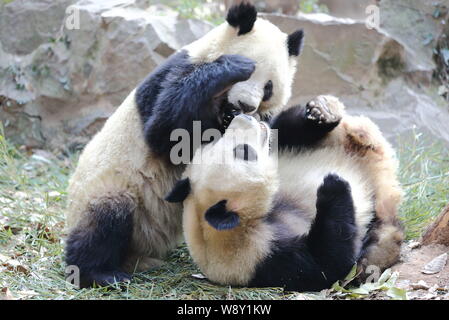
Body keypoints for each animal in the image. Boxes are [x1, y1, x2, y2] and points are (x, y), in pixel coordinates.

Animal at [63, 2, 304, 288]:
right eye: (251, 74)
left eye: (269, 87)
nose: (245, 105)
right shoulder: (175, 73)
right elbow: (165, 130)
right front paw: (234, 67)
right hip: (108, 188)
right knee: (106, 217)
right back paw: (100, 272)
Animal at [166, 95, 404, 290]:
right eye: (244, 152)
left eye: (216, 140)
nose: (245, 118)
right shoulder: (262, 258)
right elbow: (329, 261)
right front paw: (332, 185)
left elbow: (280, 129)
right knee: (377, 242)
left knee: (286, 129)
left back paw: (323, 111)